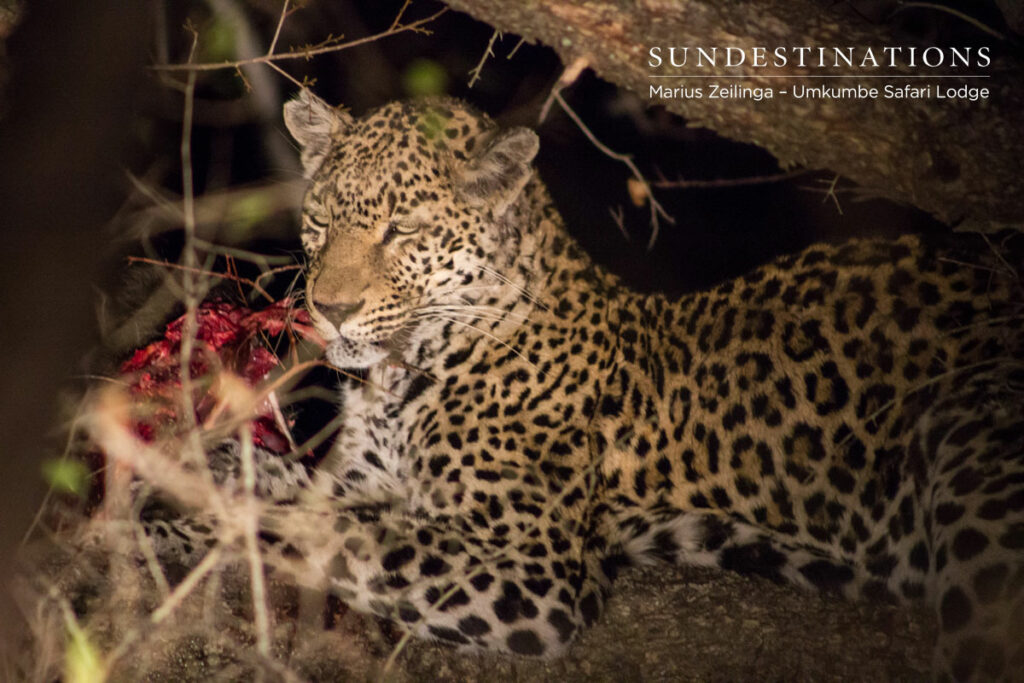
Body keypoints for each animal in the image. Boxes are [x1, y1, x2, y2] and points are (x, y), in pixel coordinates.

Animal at [153, 89, 1024, 681]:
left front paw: (184, 521)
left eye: (401, 229)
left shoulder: (531, 571)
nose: (328, 308)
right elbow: (293, 484)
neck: (407, 372)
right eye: (323, 220)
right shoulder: (365, 476)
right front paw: (184, 473)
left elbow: (334, 530)